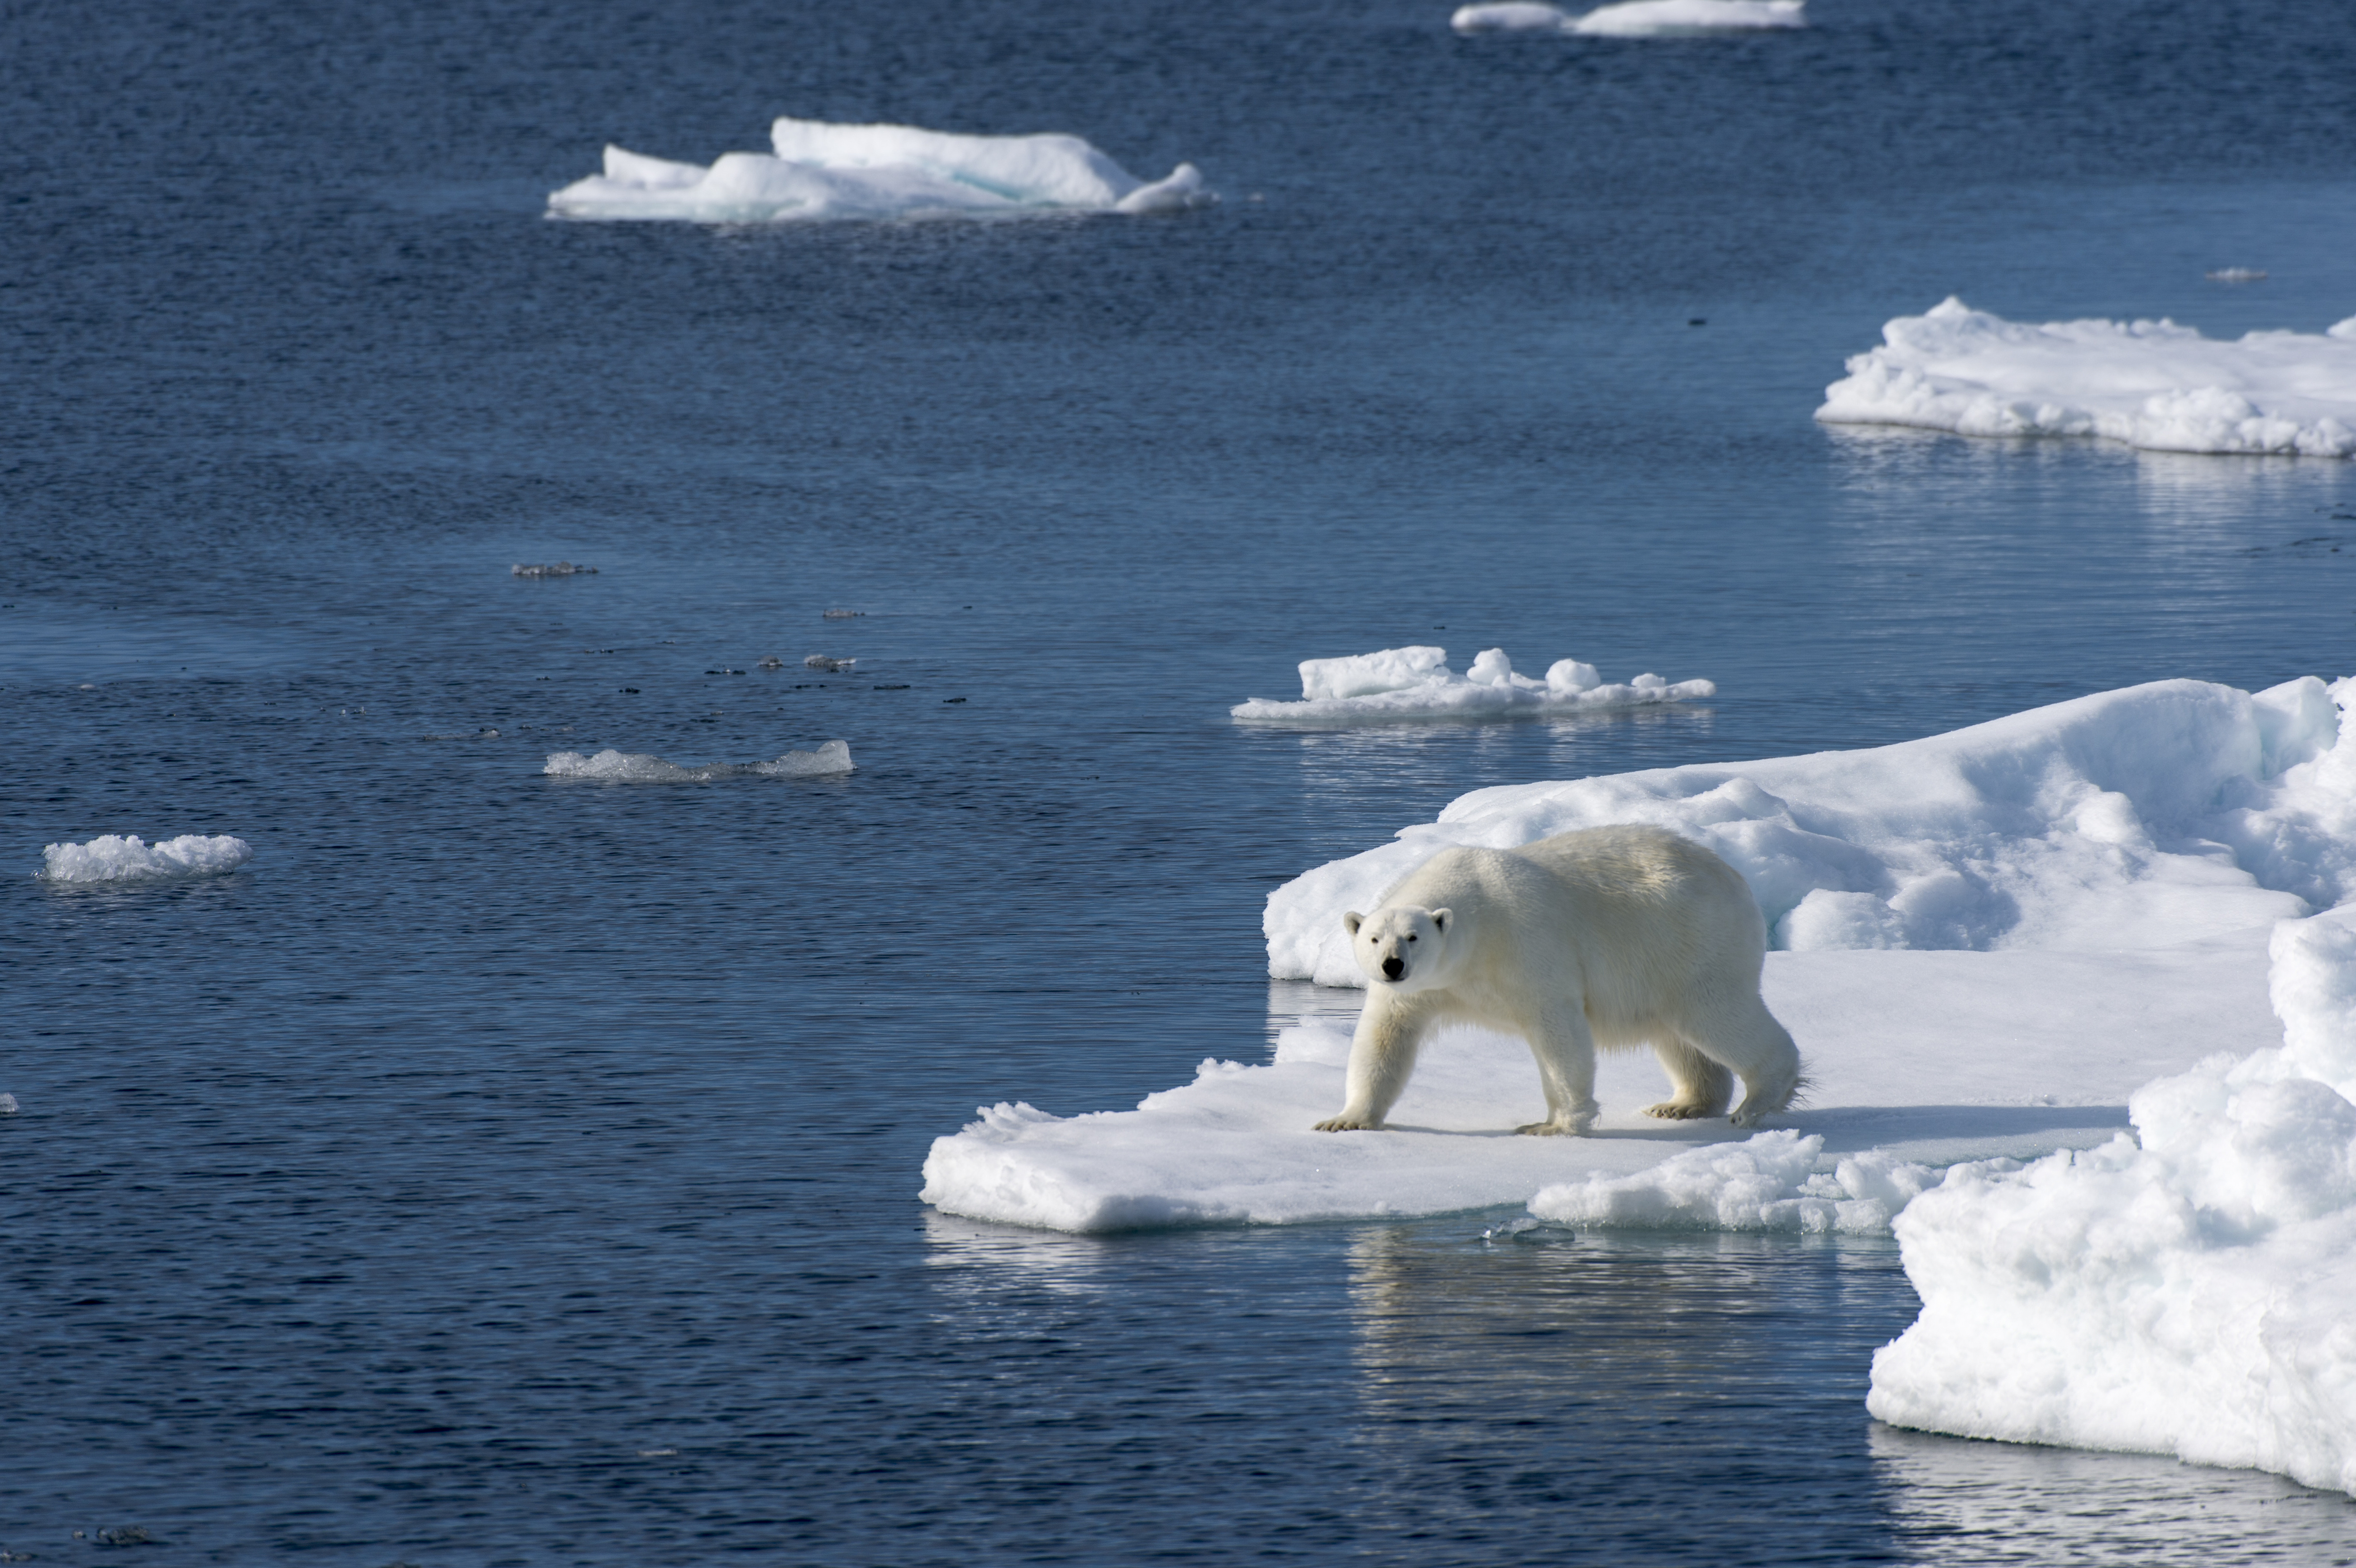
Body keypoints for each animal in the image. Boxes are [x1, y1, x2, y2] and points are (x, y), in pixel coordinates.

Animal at [1313, 824, 1802, 1136]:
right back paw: (1680, 1105)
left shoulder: (1525, 948)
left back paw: (1756, 1102)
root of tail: (1736, 877)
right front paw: (1344, 1120)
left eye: (1413, 937)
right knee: (1679, 1036)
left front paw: (1551, 1125)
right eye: (1374, 938)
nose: (1392, 965)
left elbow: (1557, 1034)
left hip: (1692, 940)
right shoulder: (1416, 992)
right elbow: (1383, 1040)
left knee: (1717, 1015)